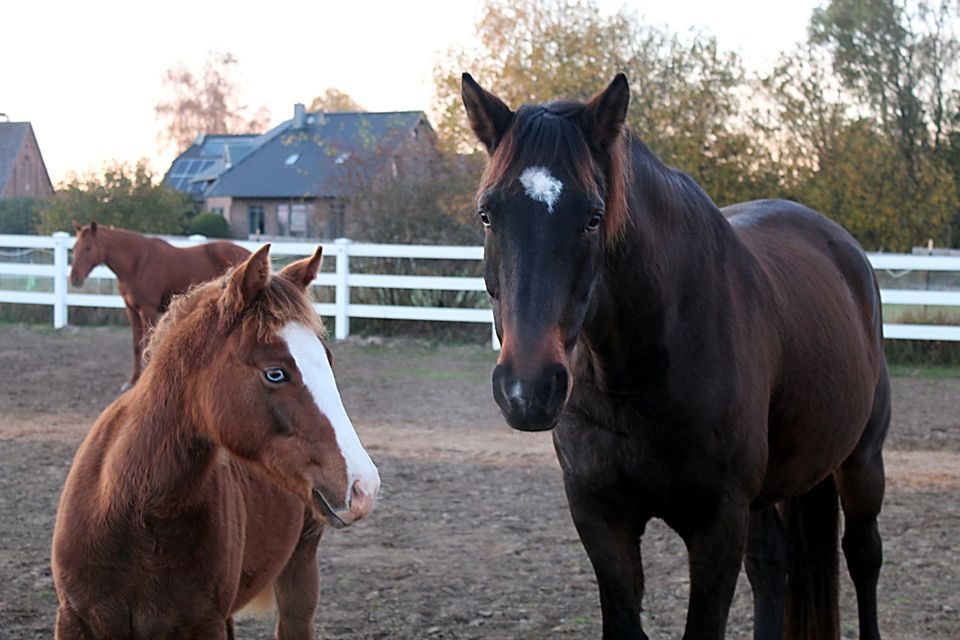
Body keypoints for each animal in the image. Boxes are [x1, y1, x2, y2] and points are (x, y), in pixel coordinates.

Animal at [50, 242, 376, 636]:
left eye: (327, 360)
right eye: (276, 373)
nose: (364, 487)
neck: (132, 511)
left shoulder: (206, 623)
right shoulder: (73, 618)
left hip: (299, 576)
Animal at [71, 220, 251, 390]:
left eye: (88, 247)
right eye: (73, 248)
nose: (74, 279)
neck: (137, 263)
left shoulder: (147, 310)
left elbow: (148, 346)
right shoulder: (131, 310)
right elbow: (136, 346)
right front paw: (133, 381)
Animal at [462, 72, 888, 636]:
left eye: (594, 217)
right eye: (488, 214)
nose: (527, 389)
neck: (639, 375)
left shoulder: (718, 524)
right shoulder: (601, 519)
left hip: (861, 462)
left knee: (863, 556)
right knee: (773, 566)